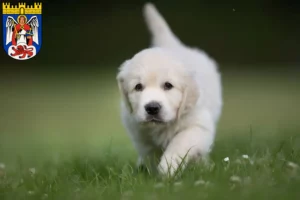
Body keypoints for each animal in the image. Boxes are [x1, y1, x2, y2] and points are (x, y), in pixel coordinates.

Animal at [117, 2, 223, 176]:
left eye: (168, 85)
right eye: (138, 87)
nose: (152, 108)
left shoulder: (197, 125)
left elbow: (180, 142)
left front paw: (168, 166)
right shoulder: (141, 136)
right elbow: (151, 153)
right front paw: (153, 172)